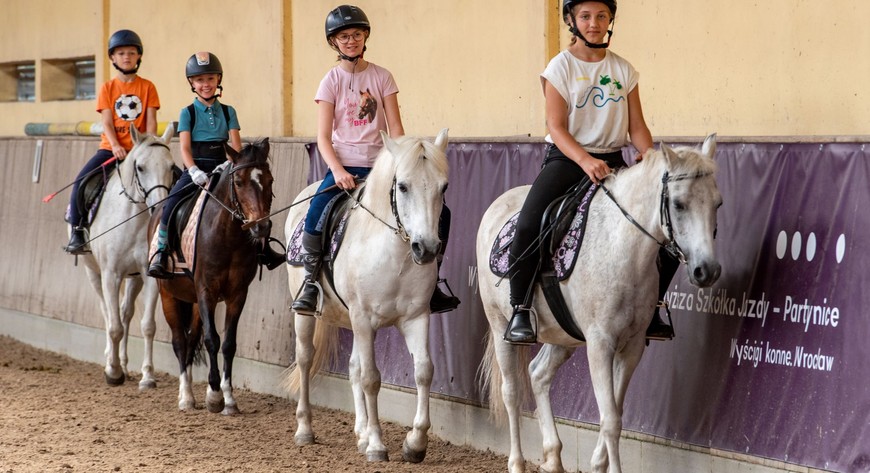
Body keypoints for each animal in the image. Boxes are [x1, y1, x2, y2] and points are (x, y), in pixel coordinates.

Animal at [75, 124, 177, 388]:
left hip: (133, 277)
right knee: (108, 313)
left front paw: (148, 376)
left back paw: (124, 364)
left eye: (171, 166)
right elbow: (114, 327)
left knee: (125, 313)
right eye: (140, 167)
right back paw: (111, 361)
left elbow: (147, 326)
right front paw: (112, 373)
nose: (159, 206)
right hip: (93, 273)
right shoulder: (110, 275)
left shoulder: (149, 276)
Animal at [148, 139, 274, 412]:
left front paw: (228, 397)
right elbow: (212, 339)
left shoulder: (237, 294)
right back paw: (186, 397)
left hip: (194, 301)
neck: (229, 236)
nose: (261, 227)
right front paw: (215, 396)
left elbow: (228, 343)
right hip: (168, 294)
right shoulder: (206, 290)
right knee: (180, 342)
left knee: (191, 339)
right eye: (239, 183)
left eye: (269, 180)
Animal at [284, 131, 450, 462]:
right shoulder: (363, 318)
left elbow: (424, 371)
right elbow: (372, 379)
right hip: (309, 317)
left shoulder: (416, 317)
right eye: (402, 186)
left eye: (444, 187)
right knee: (306, 359)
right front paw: (376, 445)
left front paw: (415, 444)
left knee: (353, 368)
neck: (392, 253)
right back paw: (305, 429)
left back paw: (359, 432)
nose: (426, 249)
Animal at [476, 135, 724, 472]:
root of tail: (496, 206)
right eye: (678, 204)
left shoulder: (631, 346)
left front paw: (597, 462)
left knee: (538, 374)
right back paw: (516, 462)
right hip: (499, 323)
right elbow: (610, 420)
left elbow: (615, 413)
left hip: (563, 335)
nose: (707, 271)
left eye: (717, 203)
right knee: (511, 391)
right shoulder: (599, 343)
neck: (622, 247)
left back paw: (553, 456)